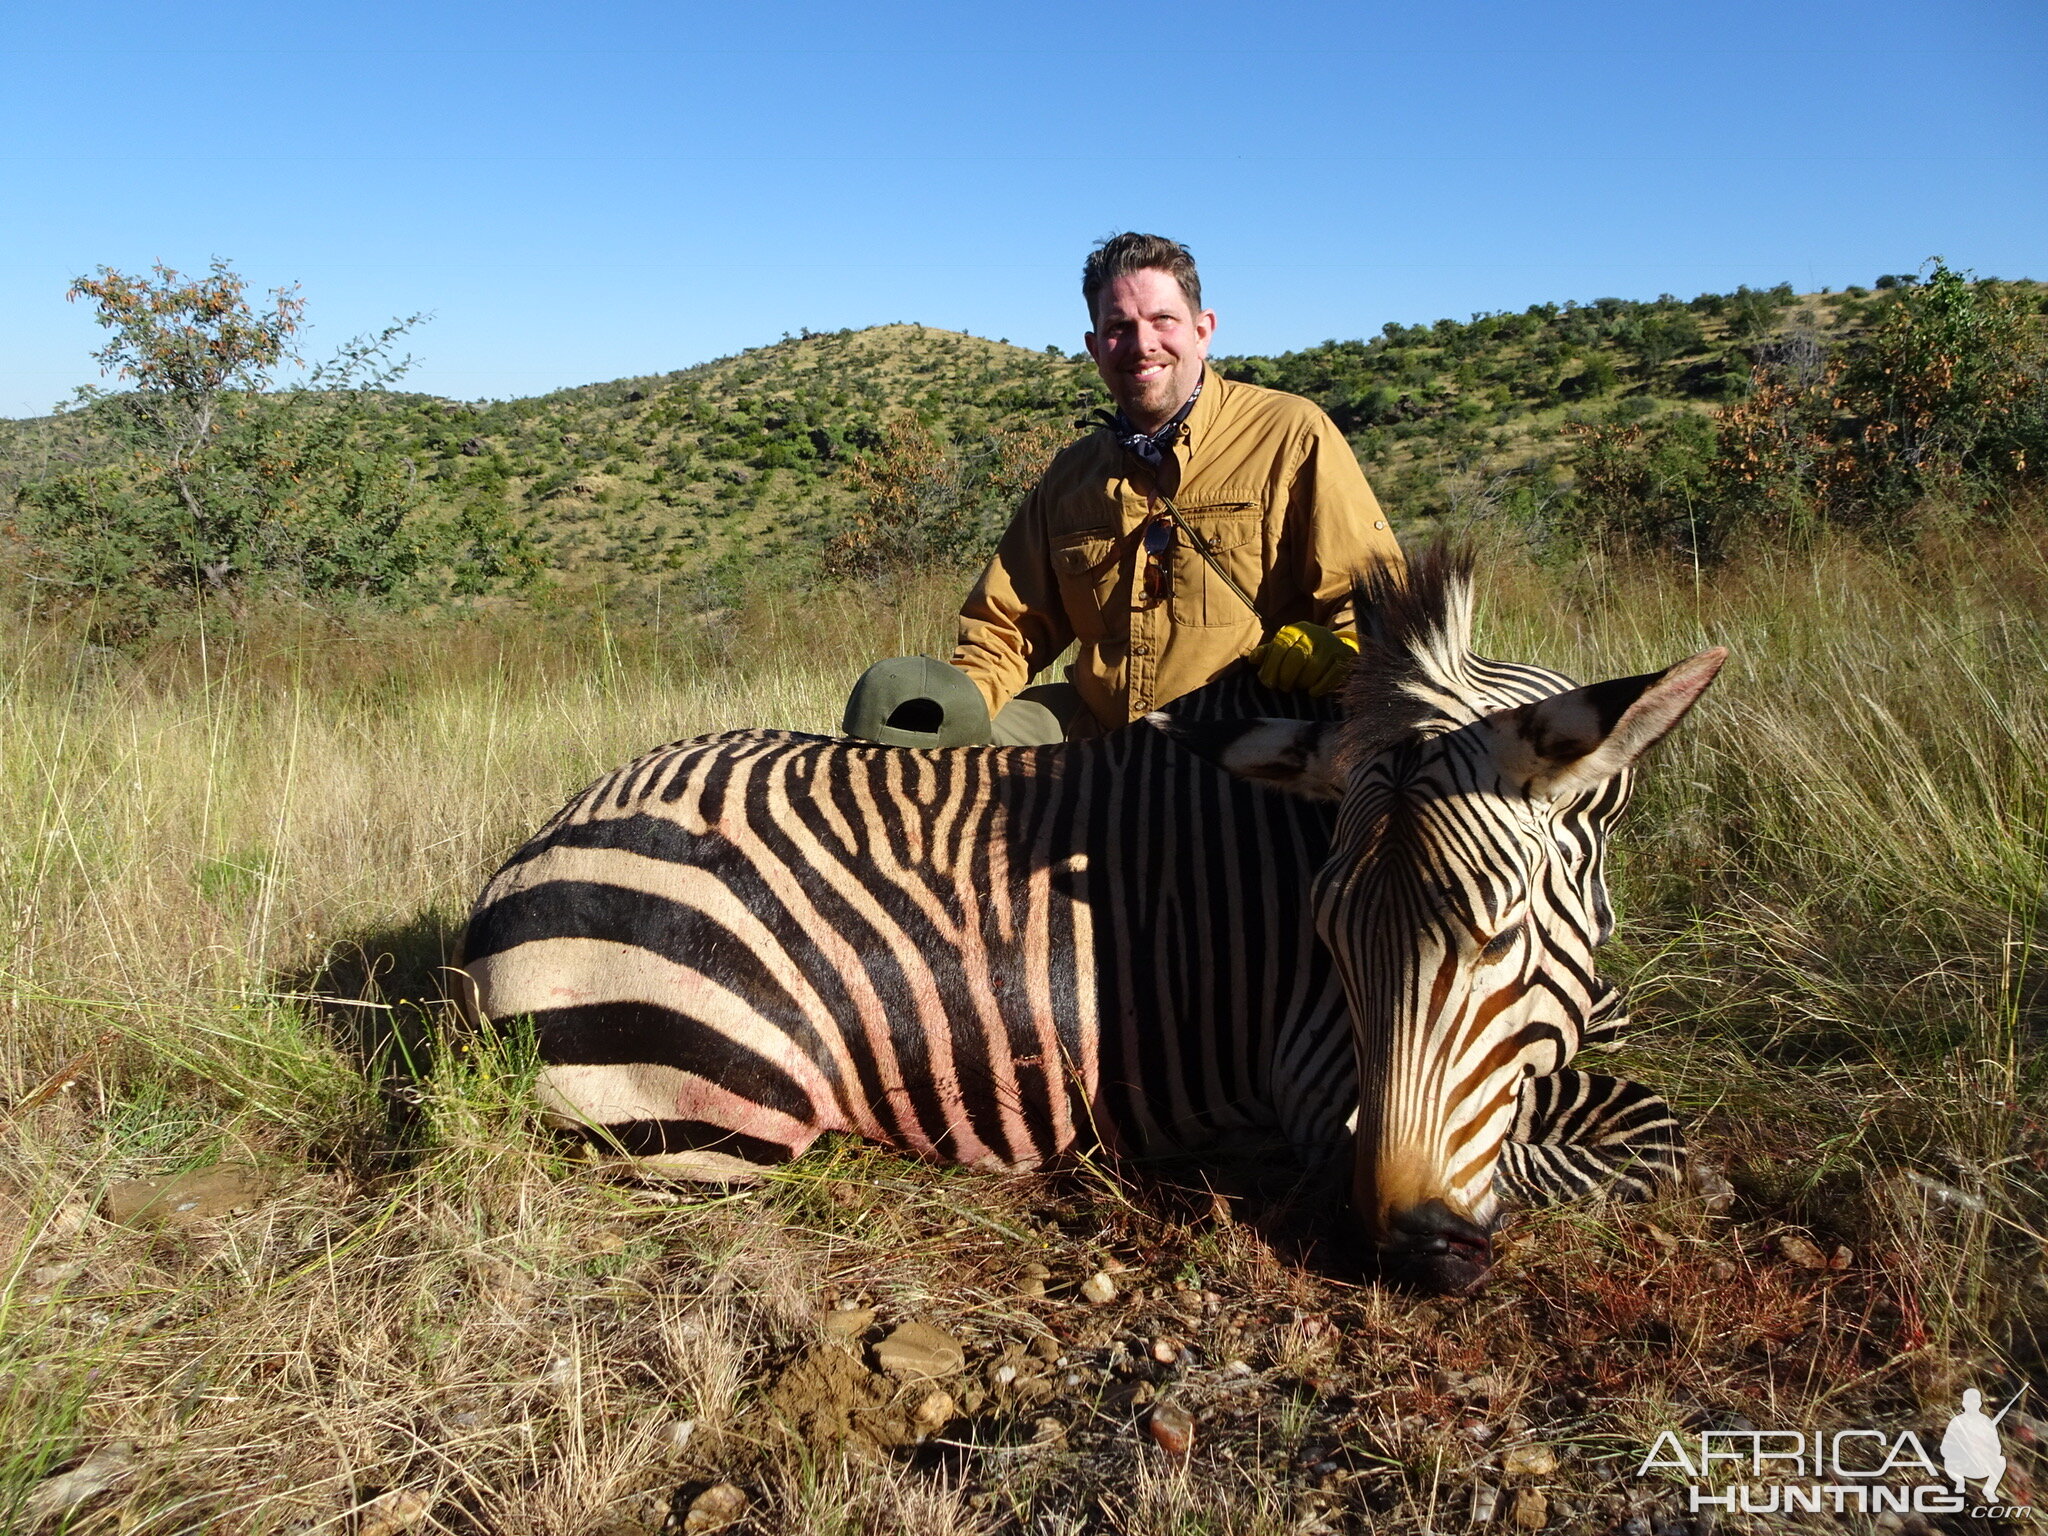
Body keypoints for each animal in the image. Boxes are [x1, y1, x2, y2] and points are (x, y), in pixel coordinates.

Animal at [456, 548, 1720, 1294]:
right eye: (1322, 944)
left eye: (1495, 936)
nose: (1413, 1250)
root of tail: (517, 867)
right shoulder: (1323, 1080)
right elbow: (1640, 1135)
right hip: (733, 1117)